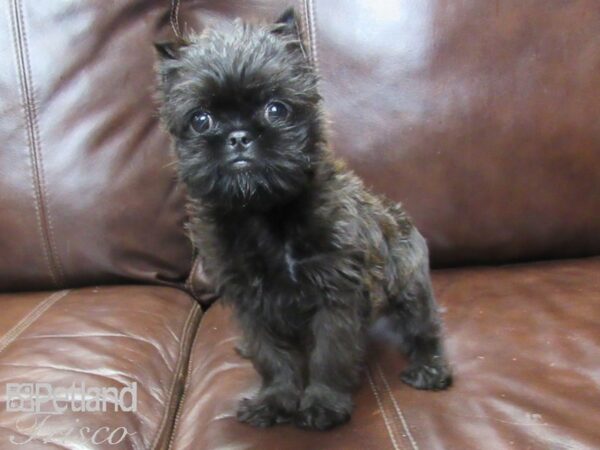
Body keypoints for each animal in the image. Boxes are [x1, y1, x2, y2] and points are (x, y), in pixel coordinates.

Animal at [155, 6, 450, 428]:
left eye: (276, 109)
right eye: (200, 120)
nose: (239, 136)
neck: (262, 213)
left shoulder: (335, 295)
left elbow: (329, 355)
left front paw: (323, 403)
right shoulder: (253, 304)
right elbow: (272, 357)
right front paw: (276, 401)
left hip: (408, 282)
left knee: (423, 325)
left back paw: (430, 367)